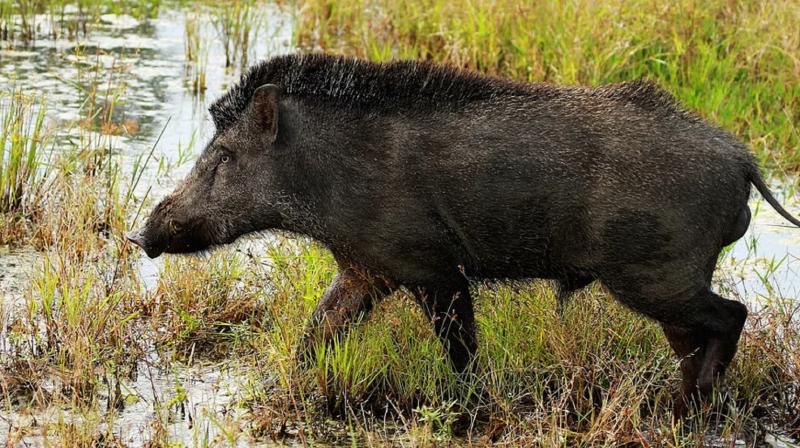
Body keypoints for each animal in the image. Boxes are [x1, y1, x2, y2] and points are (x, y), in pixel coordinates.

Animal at [127, 53, 800, 415]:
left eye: (224, 156)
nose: (139, 235)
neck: (323, 178)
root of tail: (742, 160)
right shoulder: (365, 269)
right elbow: (314, 337)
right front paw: (284, 385)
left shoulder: (433, 269)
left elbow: (460, 349)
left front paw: (466, 406)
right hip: (666, 281)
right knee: (695, 338)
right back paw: (677, 407)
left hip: (655, 275)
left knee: (732, 315)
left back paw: (699, 401)